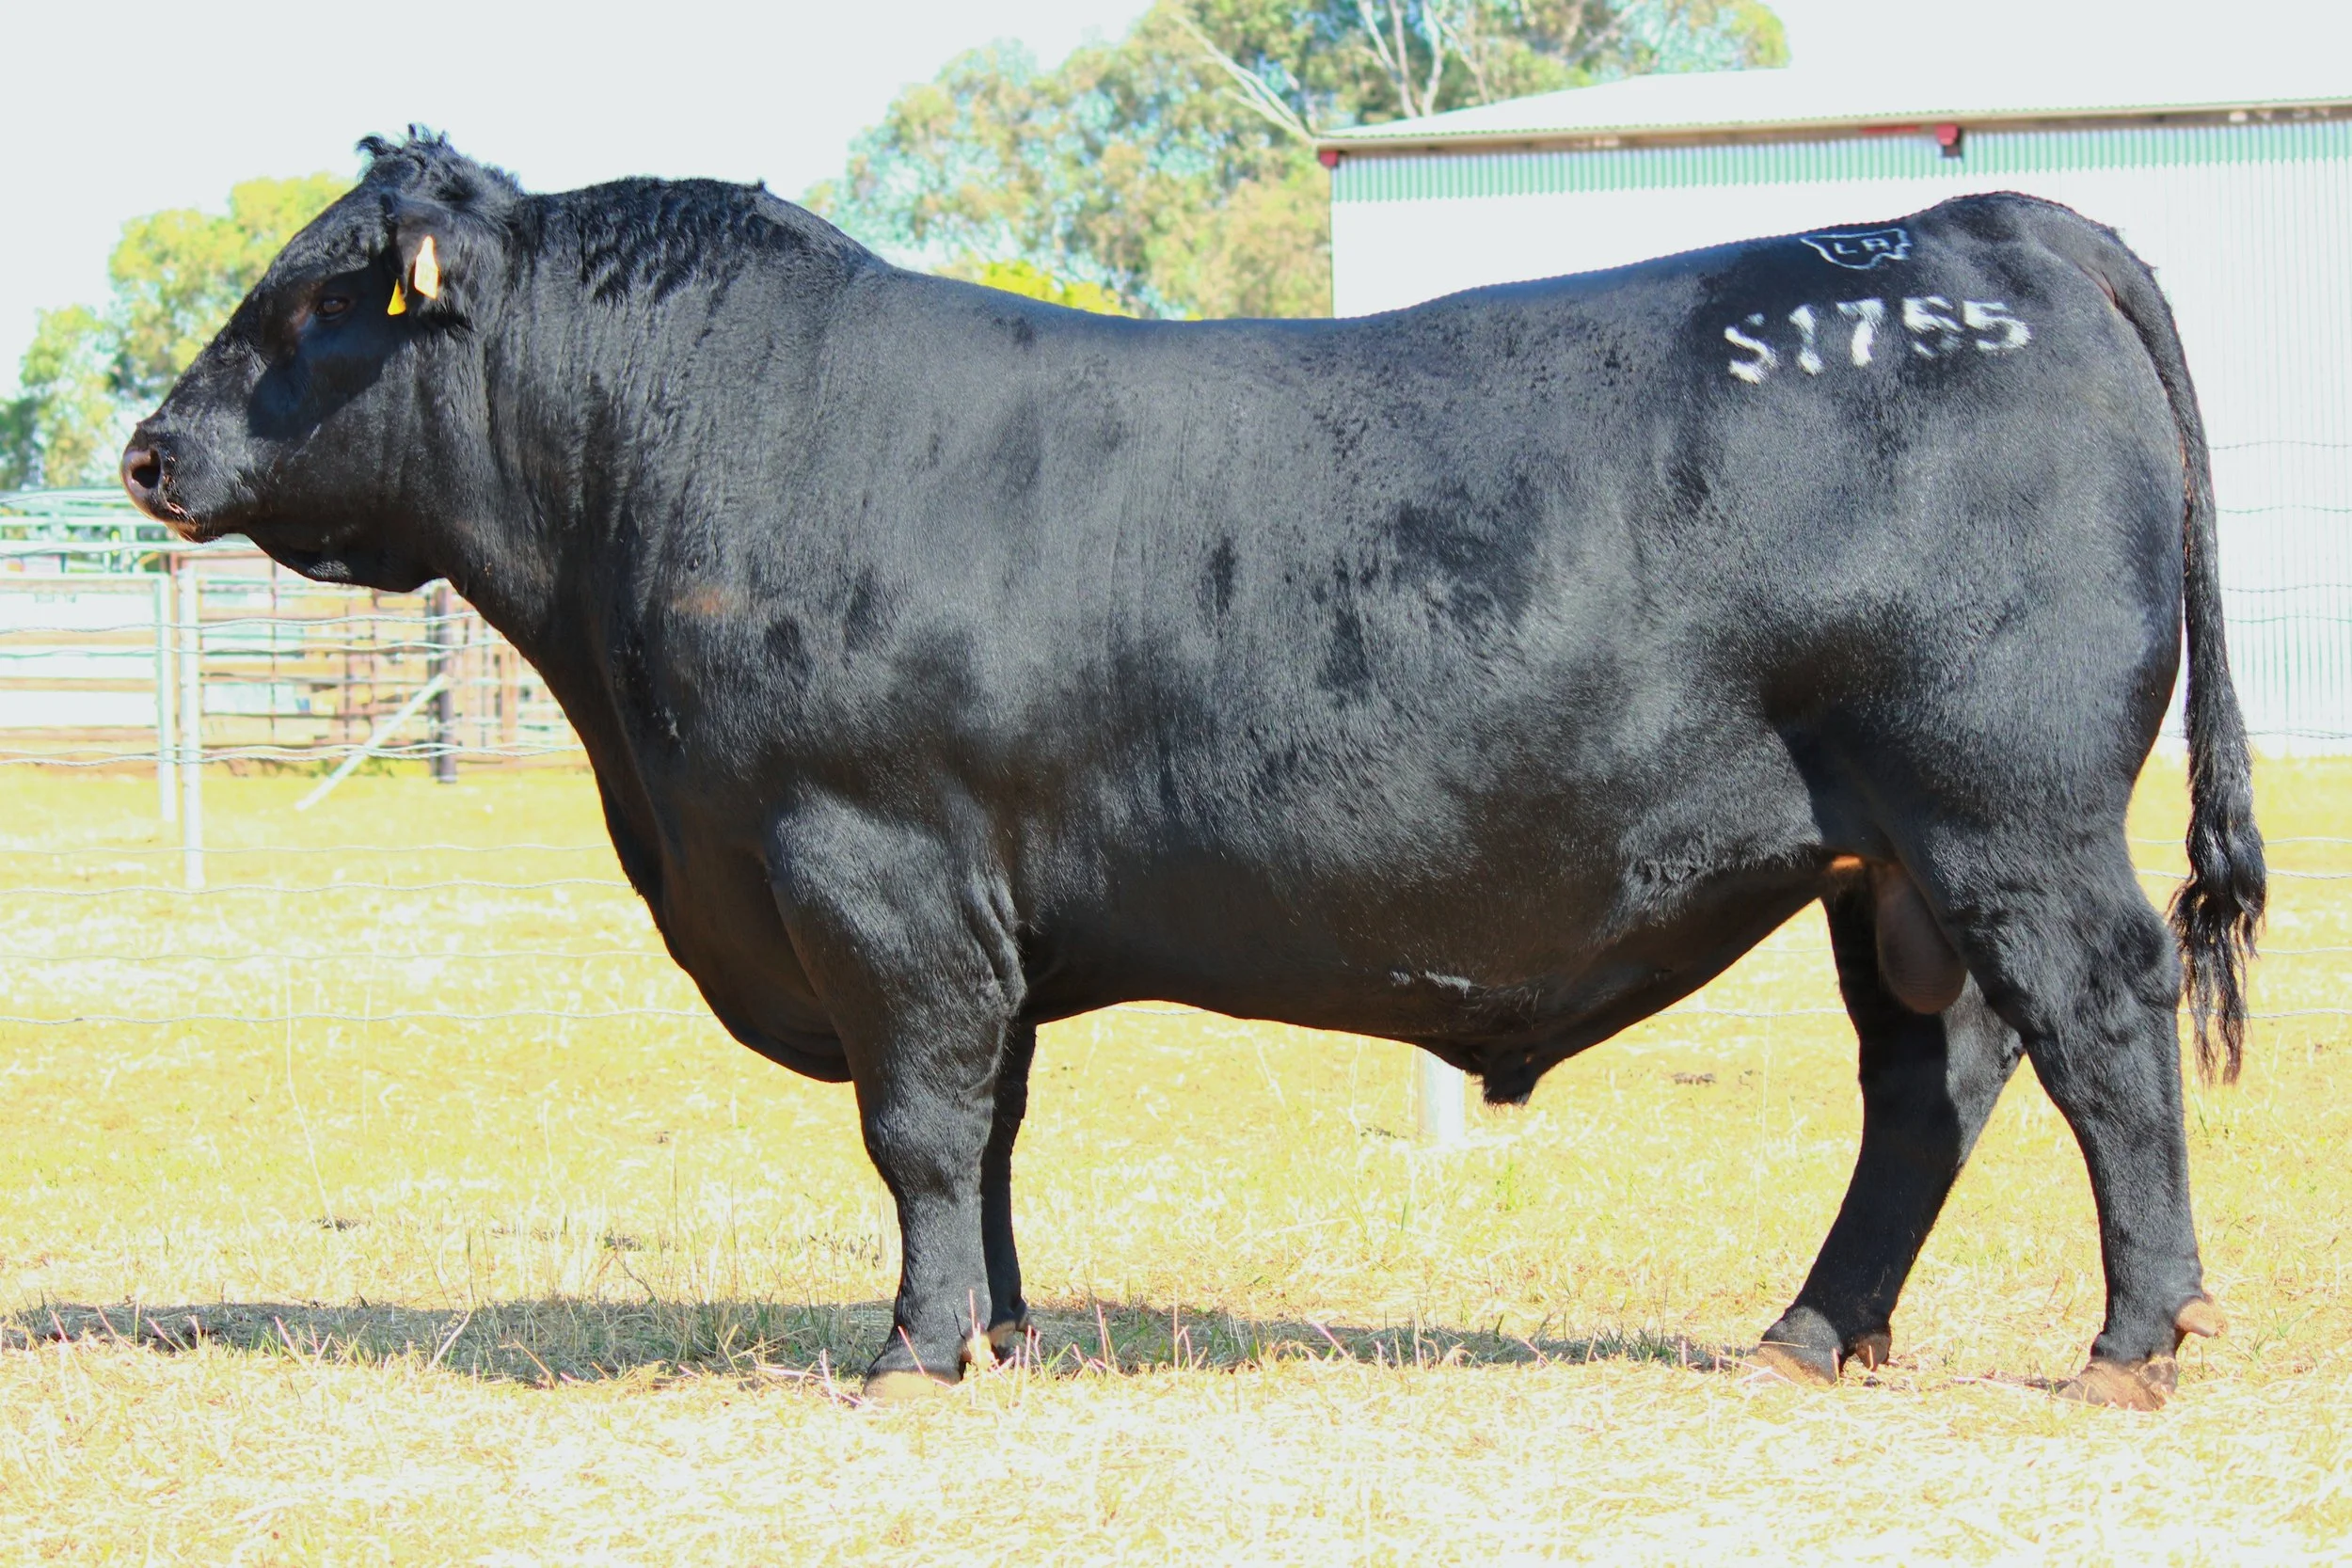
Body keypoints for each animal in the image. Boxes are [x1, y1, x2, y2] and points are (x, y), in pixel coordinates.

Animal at [122, 132, 2264, 1409]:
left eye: (311, 303)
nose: (148, 447)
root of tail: (1981, 226)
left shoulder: (872, 867)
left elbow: (916, 1123)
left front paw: (909, 1355)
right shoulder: (972, 907)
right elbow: (987, 1127)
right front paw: (993, 1328)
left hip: (2005, 811)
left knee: (2101, 1024)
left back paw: (2133, 1335)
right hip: (1884, 861)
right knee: (1932, 1079)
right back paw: (1811, 1333)